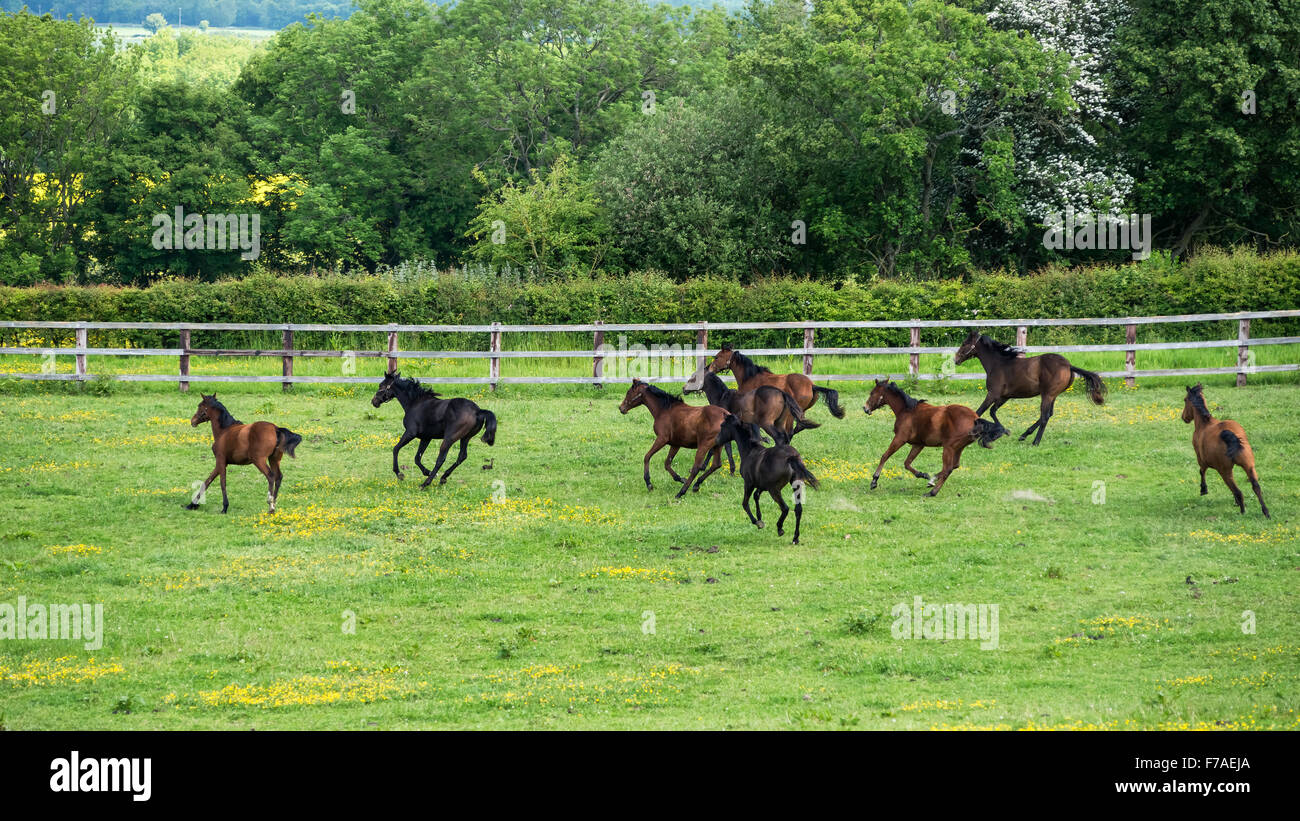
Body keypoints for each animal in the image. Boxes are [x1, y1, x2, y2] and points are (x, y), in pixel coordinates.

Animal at [717, 410, 816, 545]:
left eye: (722, 425)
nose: (716, 440)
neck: (750, 451)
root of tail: (791, 457)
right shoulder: (762, 485)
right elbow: (756, 496)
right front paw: (759, 517)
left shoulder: (749, 483)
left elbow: (745, 503)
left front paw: (758, 522)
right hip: (795, 484)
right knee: (798, 509)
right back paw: (795, 538)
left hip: (774, 490)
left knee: (785, 508)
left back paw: (780, 529)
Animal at [868, 381, 1008, 496]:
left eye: (872, 393)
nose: (865, 408)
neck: (907, 411)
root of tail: (975, 418)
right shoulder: (918, 444)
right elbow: (907, 463)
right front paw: (923, 474)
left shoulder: (900, 438)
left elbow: (885, 456)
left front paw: (874, 480)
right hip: (958, 447)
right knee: (954, 466)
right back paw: (932, 480)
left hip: (949, 447)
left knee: (948, 469)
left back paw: (932, 492)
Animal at [956, 327, 1107, 446]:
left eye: (964, 343)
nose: (956, 359)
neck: (998, 364)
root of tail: (1068, 366)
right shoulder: (1004, 396)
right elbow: (992, 411)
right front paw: (1003, 431)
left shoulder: (993, 394)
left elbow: (979, 411)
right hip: (1052, 395)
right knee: (1048, 414)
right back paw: (1024, 435)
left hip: (1047, 395)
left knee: (1045, 416)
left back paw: (1035, 442)